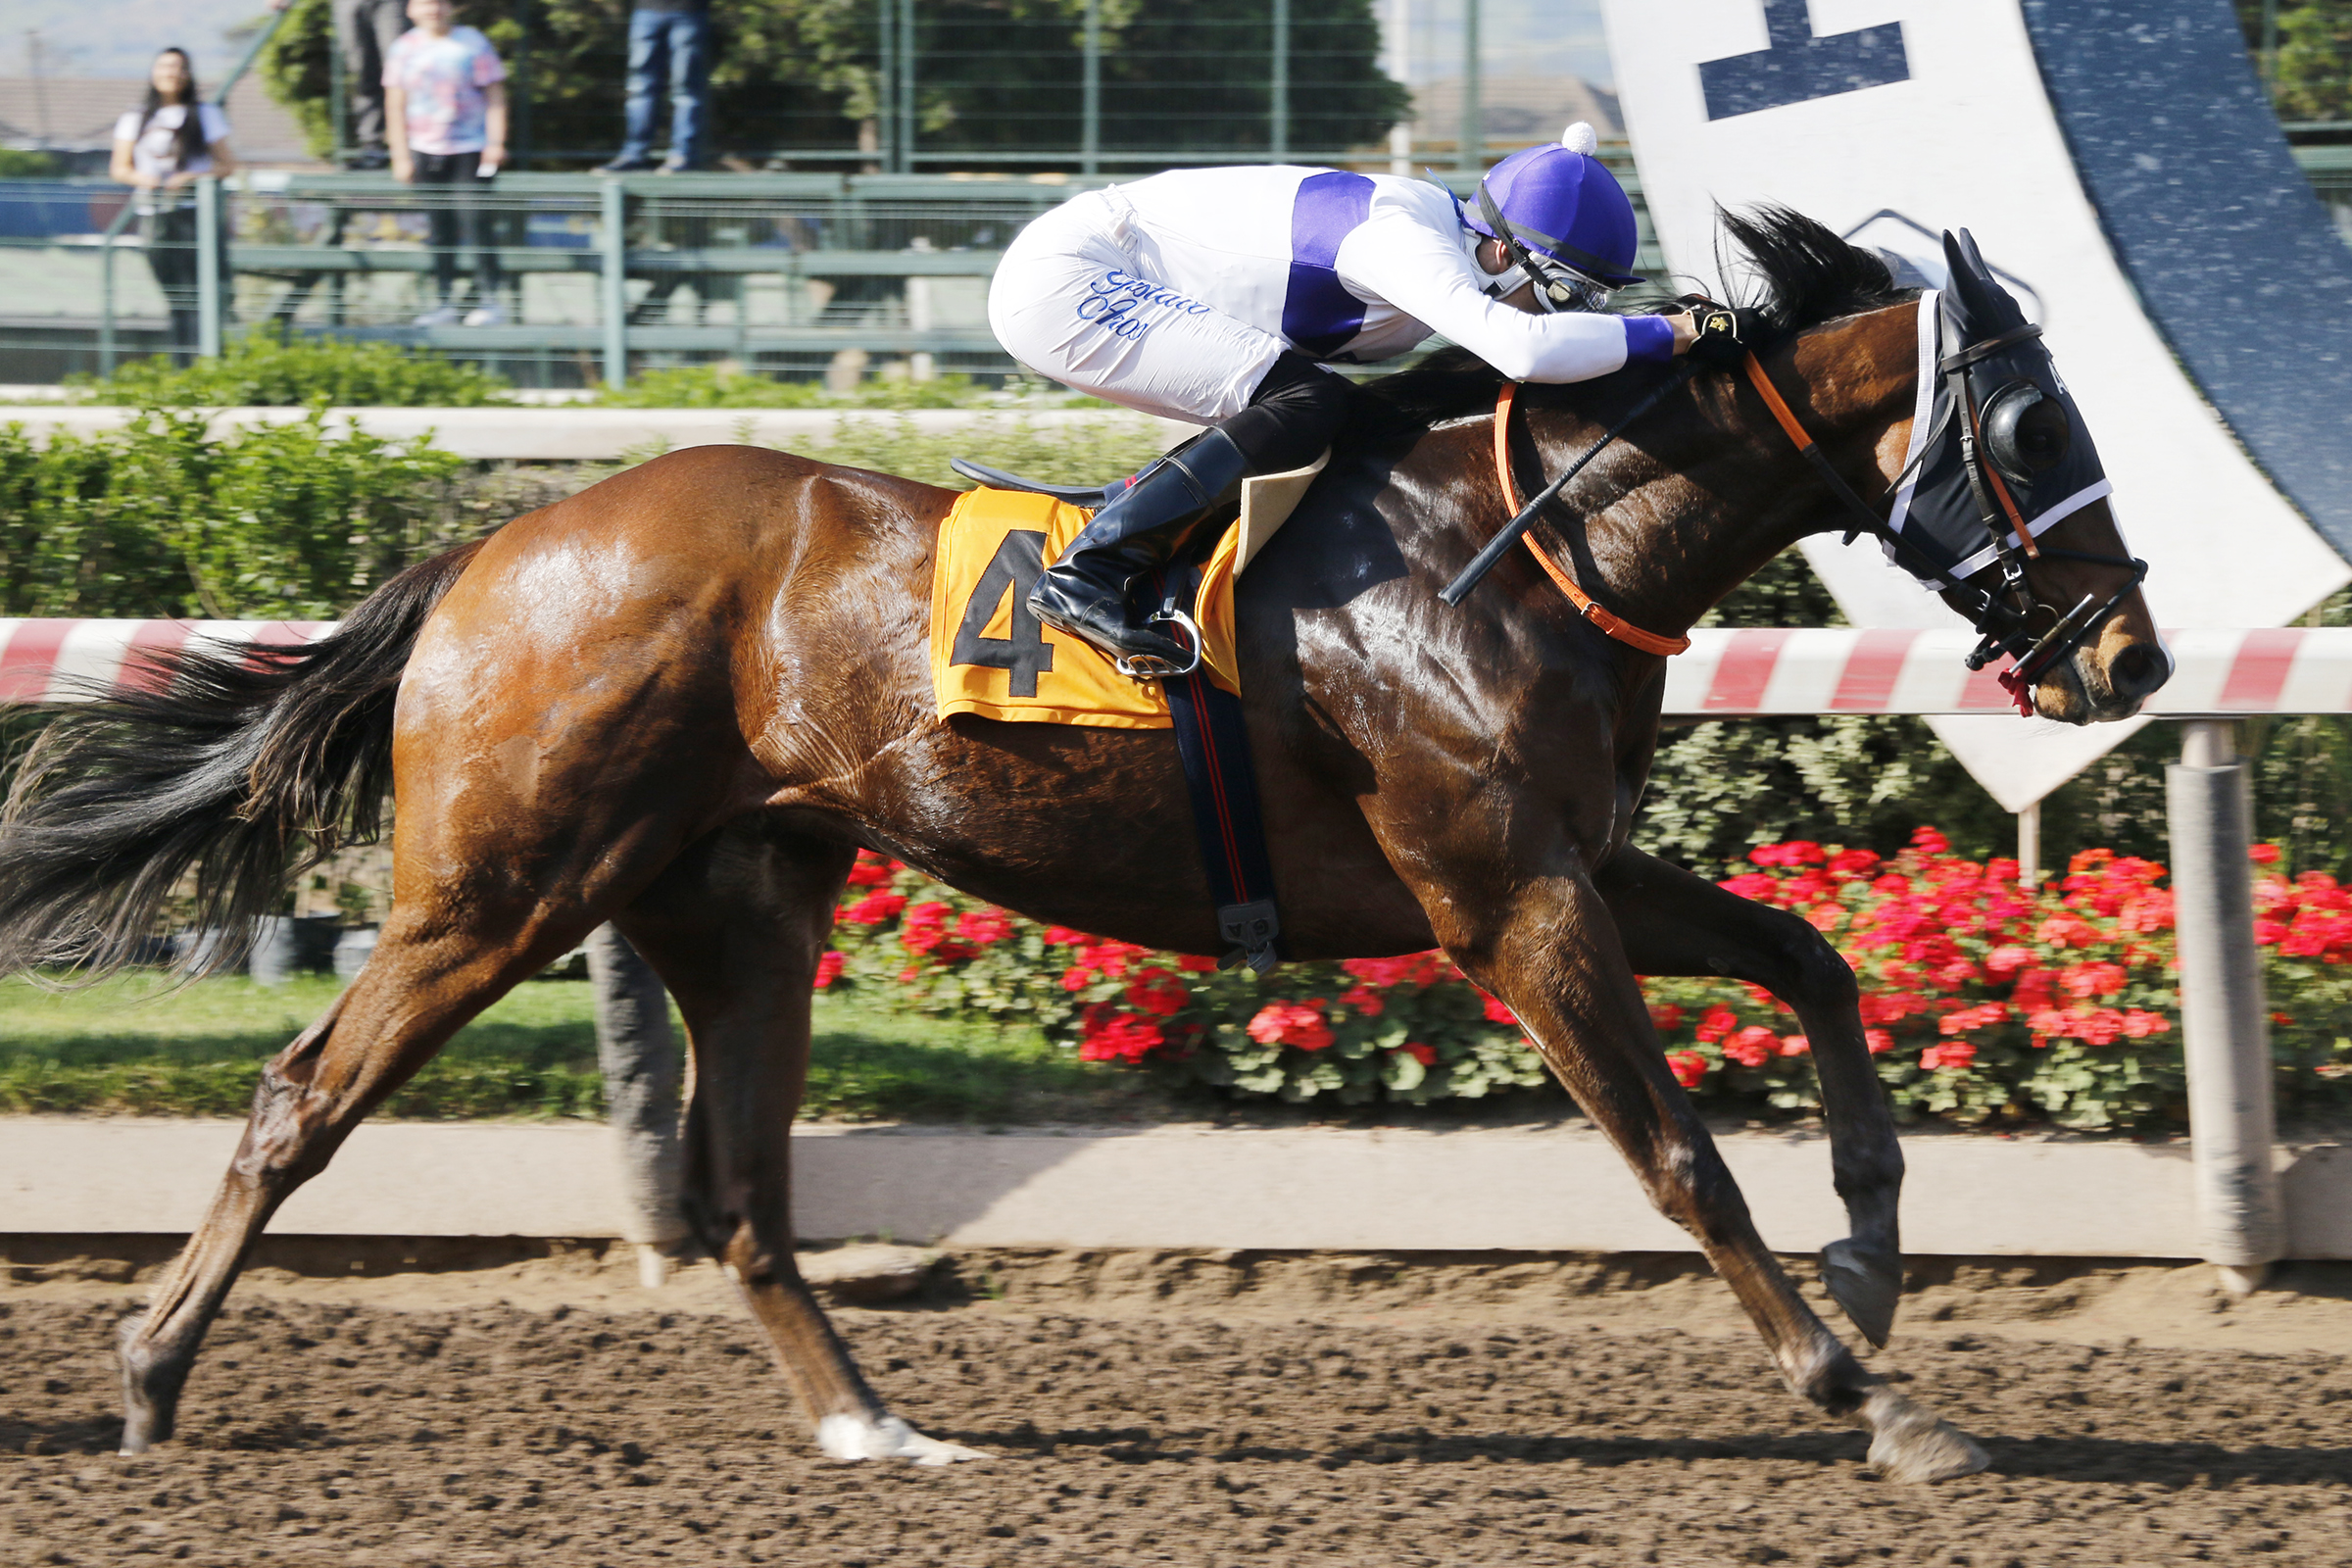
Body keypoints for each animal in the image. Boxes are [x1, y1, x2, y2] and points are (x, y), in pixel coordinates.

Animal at [0, 208, 2168, 1484]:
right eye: (2037, 428)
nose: (2133, 653)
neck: (1528, 544)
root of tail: (494, 546)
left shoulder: (1572, 862)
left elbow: (1814, 963)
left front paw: (1874, 1250)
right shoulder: (1506, 900)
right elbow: (1679, 1153)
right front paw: (1872, 1397)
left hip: (741, 902)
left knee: (742, 1189)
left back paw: (876, 1426)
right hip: (503, 889)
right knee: (303, 1101)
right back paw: (150, 1376)